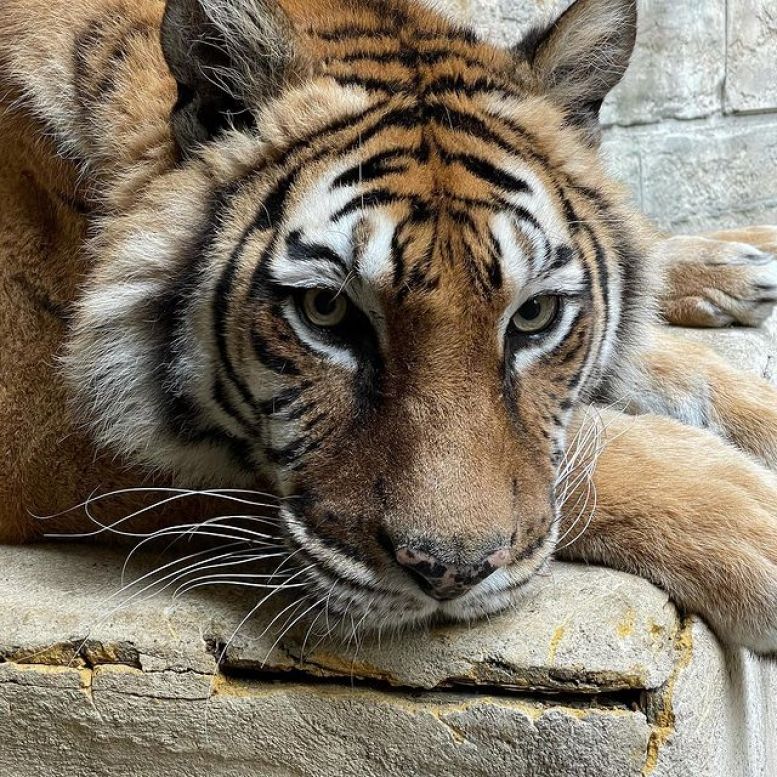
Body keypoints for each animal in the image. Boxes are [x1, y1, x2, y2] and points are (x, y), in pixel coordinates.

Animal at [2, 0, 777, 654]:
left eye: (533, 314)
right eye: (326, 311)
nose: (450, 575)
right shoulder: (47, 431)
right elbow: (592, 446)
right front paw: (752, 527)